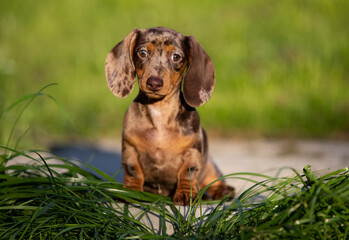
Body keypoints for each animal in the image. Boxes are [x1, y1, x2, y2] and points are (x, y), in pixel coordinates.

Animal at [104, 27, 234, 204]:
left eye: (176, 57)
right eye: (142, 53)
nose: (154, 83)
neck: (160, 112)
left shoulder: (192, 151)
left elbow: (187, 172)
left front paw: (186, 194)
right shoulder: (130, 148)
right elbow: (133, 171)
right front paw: (130, 191)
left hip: (210, 166)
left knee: (213, 179)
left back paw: (221, 191)